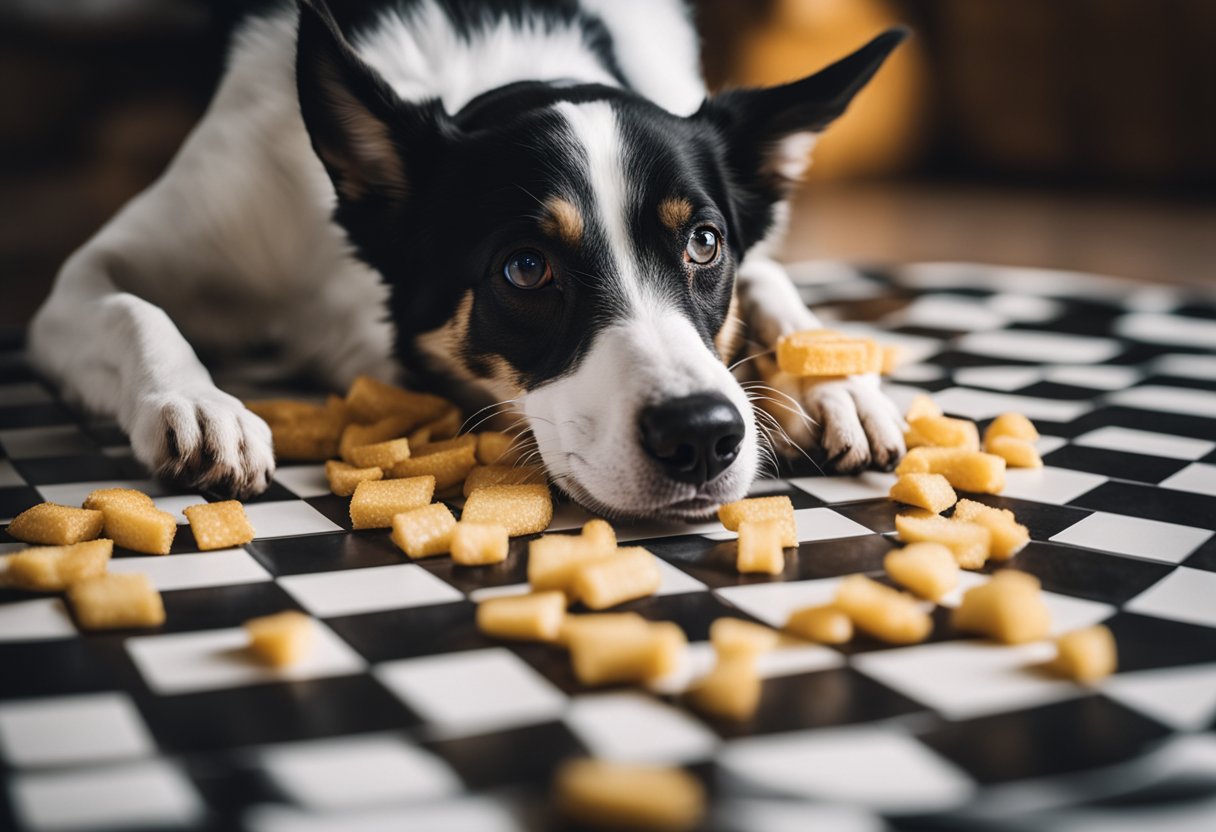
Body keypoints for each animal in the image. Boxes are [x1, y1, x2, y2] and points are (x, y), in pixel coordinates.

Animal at [28, 0, 909, 520]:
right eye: (525, 269)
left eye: (702, 243)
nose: (702, 435)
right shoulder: (97, 274)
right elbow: (131, 305)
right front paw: (199, 403)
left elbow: (771, 277)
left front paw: (835, 383)